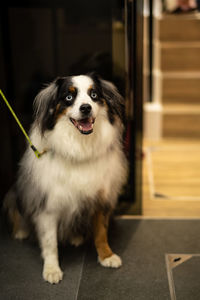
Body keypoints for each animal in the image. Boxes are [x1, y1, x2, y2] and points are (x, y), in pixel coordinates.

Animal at [3, 73, 128, 284]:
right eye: (69, 97)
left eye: (94, 95)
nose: (85, 108)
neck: (80, 147)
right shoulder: (48, 205)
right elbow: (50, 242)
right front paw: (52, 269)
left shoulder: (101, 196)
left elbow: (101, 232)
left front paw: (107, 256)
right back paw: (21, 230)